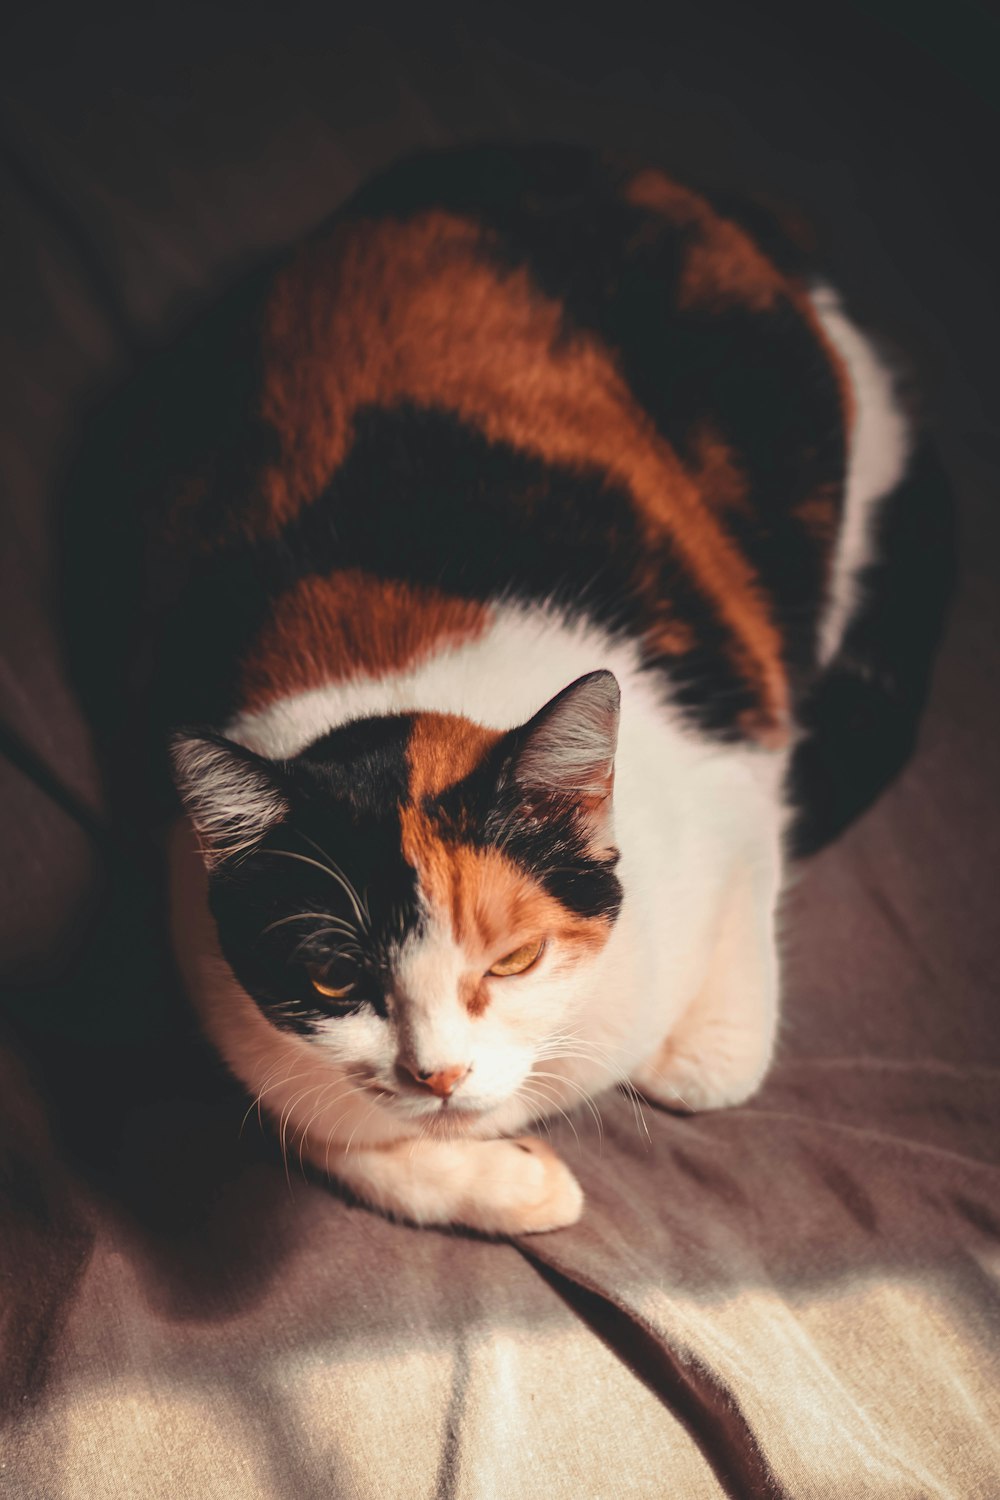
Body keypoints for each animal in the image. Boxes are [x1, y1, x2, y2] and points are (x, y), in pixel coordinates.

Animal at [152, 146, 953, 1236]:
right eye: (334, 976)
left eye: (514, 961)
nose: (439, 1076)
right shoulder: (217, 975)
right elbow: (336, 1138)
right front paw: (520, 1186)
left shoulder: (732, 788)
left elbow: (710, 1066)